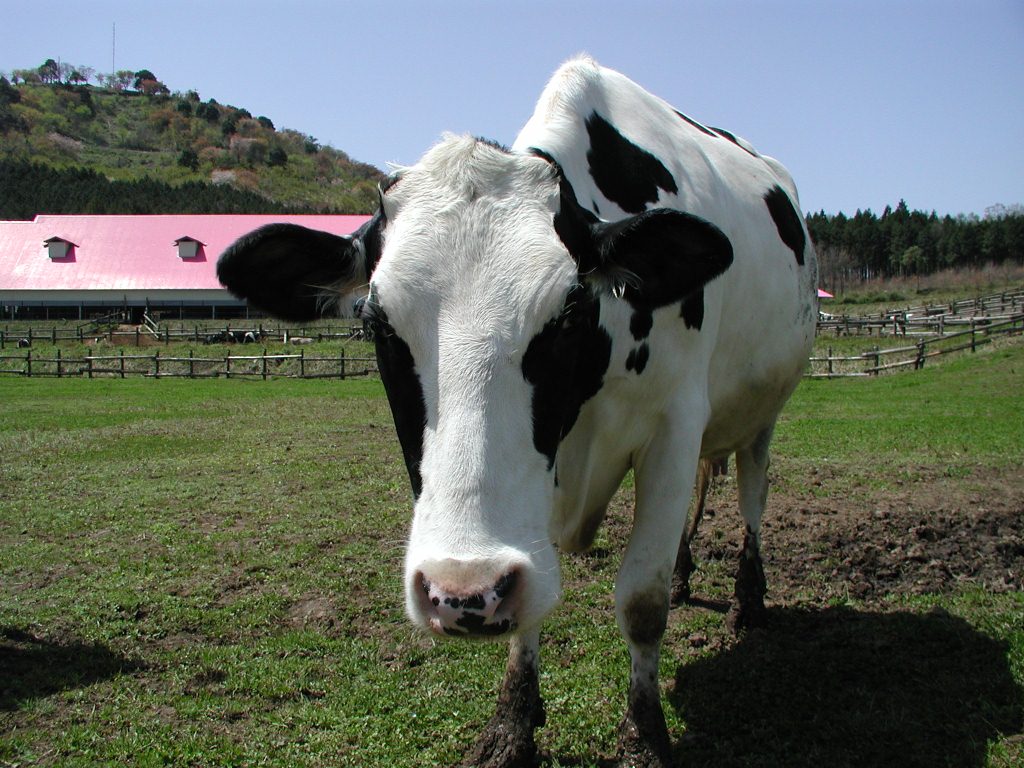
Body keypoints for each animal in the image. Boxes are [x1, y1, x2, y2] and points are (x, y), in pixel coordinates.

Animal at [216, 57, 815, 765]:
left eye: (570, 311)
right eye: (375, 322)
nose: (461, 592)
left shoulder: (675, 424)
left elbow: (640, 601)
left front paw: (645, 735)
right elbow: (533, 612)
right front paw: (512, 722)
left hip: (764, 414)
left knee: (753, 495)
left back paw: (749, 599)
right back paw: (686, 573)